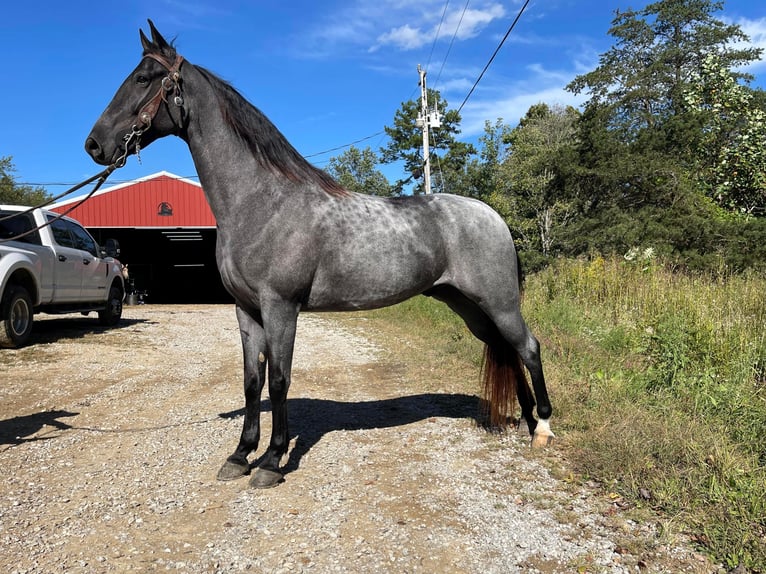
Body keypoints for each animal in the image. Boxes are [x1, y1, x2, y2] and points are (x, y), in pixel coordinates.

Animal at [84, 21, 556, 490]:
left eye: (143, 78)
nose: (94, 145)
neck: (261, 201)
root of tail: (492, 216)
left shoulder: (281, 308)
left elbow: (279, 381)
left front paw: (272, 461)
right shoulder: (245, 310)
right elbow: (251, 381)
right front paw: (240, 455)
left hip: (498, 302)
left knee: (529, 347)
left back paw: (544, 428)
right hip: (468, 306)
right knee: (507, 348)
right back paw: (526, 420)